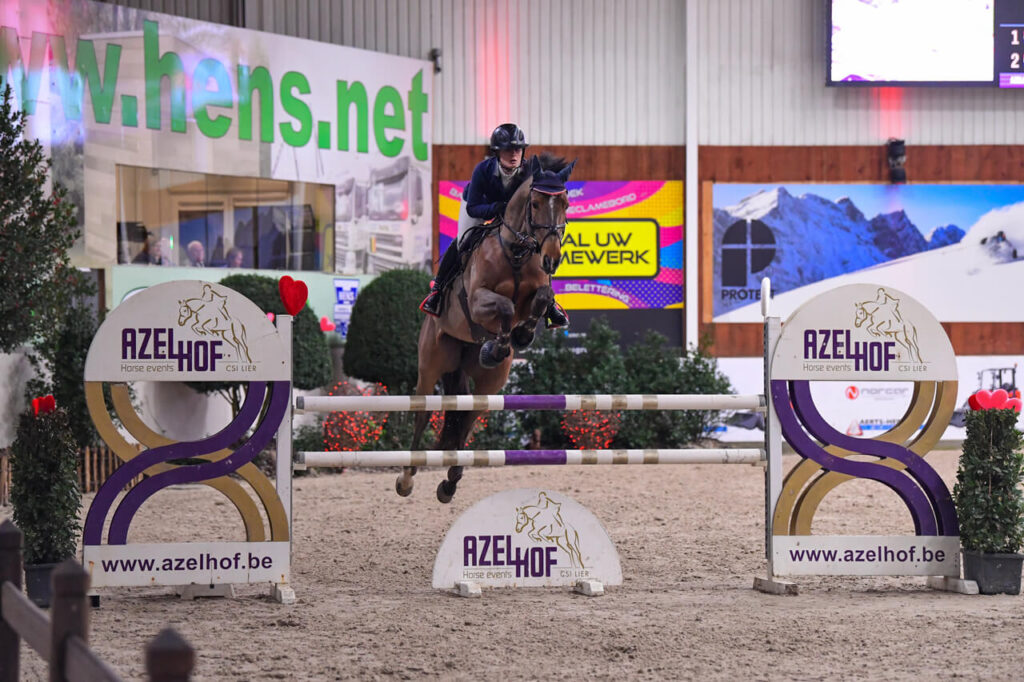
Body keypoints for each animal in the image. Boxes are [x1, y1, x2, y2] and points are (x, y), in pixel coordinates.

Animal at [397, 155, 577, 503]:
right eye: (535, 203)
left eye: (565, 202)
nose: (551, 259)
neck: (518, 251)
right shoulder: (479, 300)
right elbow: (504, 306)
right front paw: (501, 343)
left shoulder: (535, 294)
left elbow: (541, 299)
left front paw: (517, 337)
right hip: (431, 361)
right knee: (422, 412)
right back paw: (407, 478)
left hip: (489, 382)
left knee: (468, 414)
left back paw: (450, 482)